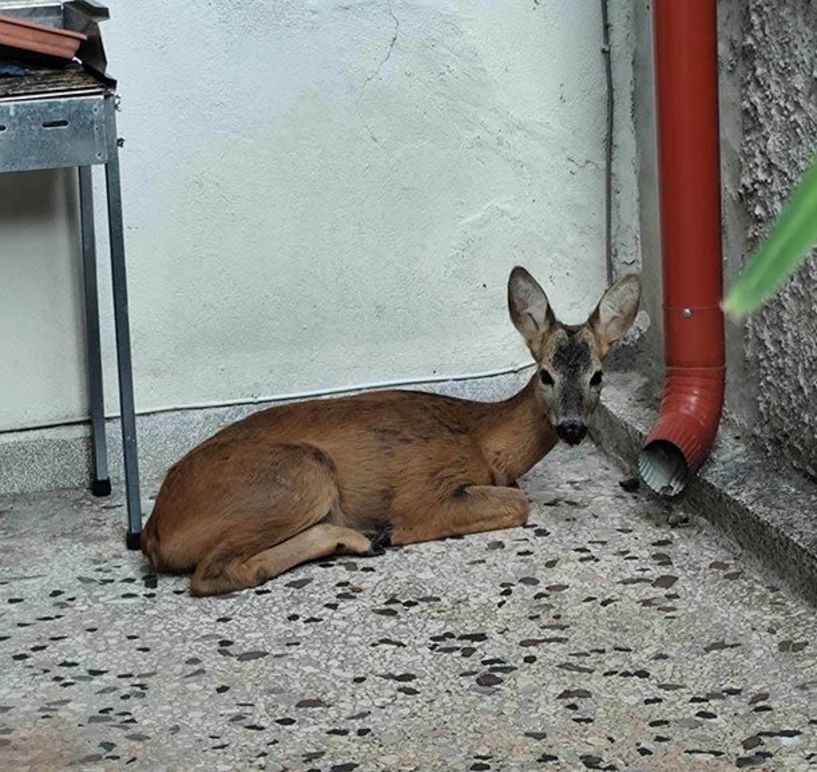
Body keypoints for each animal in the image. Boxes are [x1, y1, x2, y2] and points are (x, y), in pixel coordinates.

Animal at [140, 266, 636, 596]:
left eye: (597, 376)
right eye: (546, 375)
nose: (572, 428)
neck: (484, 441)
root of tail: (156, 530)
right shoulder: (425, 488)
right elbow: (518, 503)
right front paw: (396, 532)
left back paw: (357, 541)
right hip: (298, 474)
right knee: (211, 573)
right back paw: (366, 538)